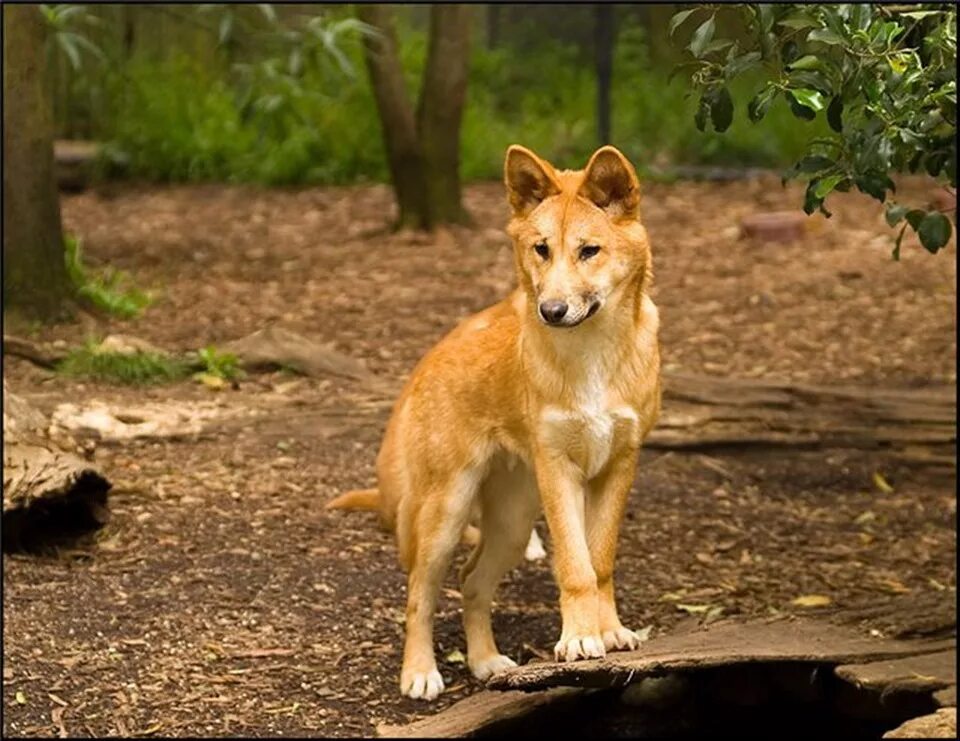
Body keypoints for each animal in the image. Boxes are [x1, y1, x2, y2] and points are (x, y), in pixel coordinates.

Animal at [328, 143, 660, 700]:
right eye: (541, 249)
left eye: (589, 250)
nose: (551, 309)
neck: (591, 354)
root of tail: (429, 359)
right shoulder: (558, 470)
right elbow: (575, 567)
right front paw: (579, 640)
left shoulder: (619, 464)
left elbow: (600, 561)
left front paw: (610, 631)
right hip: (446, 514)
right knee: (420, 594)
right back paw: (419, 672)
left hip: (511, 523)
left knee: (471, 581)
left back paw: (485, 662)